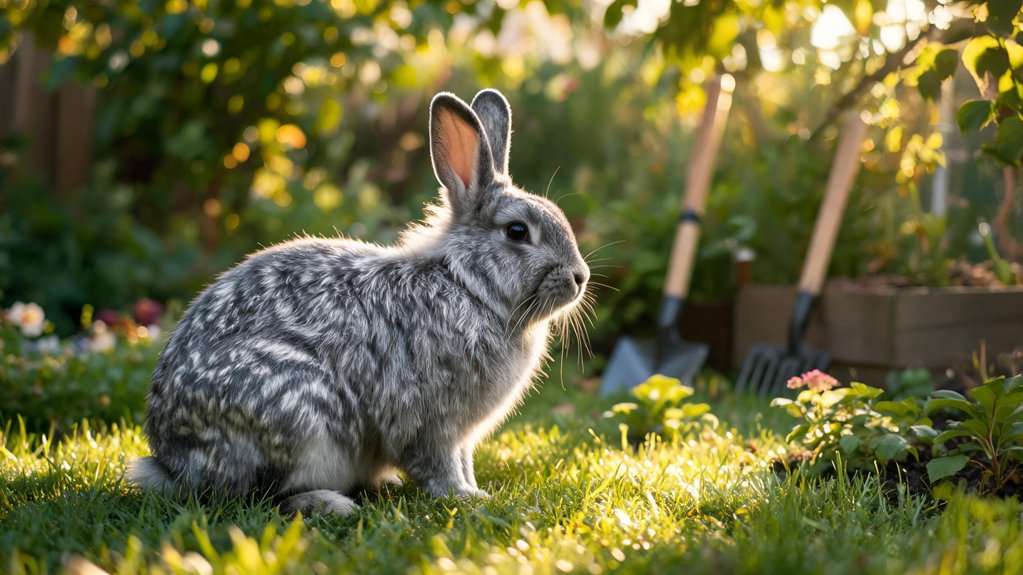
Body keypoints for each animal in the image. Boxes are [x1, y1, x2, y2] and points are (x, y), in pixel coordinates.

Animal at [127, 89, 591, 516]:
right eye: (517, 231)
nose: (580, 278)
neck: (467, 285)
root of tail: (172, 461)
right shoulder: (429, 421)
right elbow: (437, 464)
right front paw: (467, 498)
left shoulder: (460, 436)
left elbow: (463, 461)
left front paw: (474, 490)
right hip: (300, 413)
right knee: (258, 496)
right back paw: (331, 503)